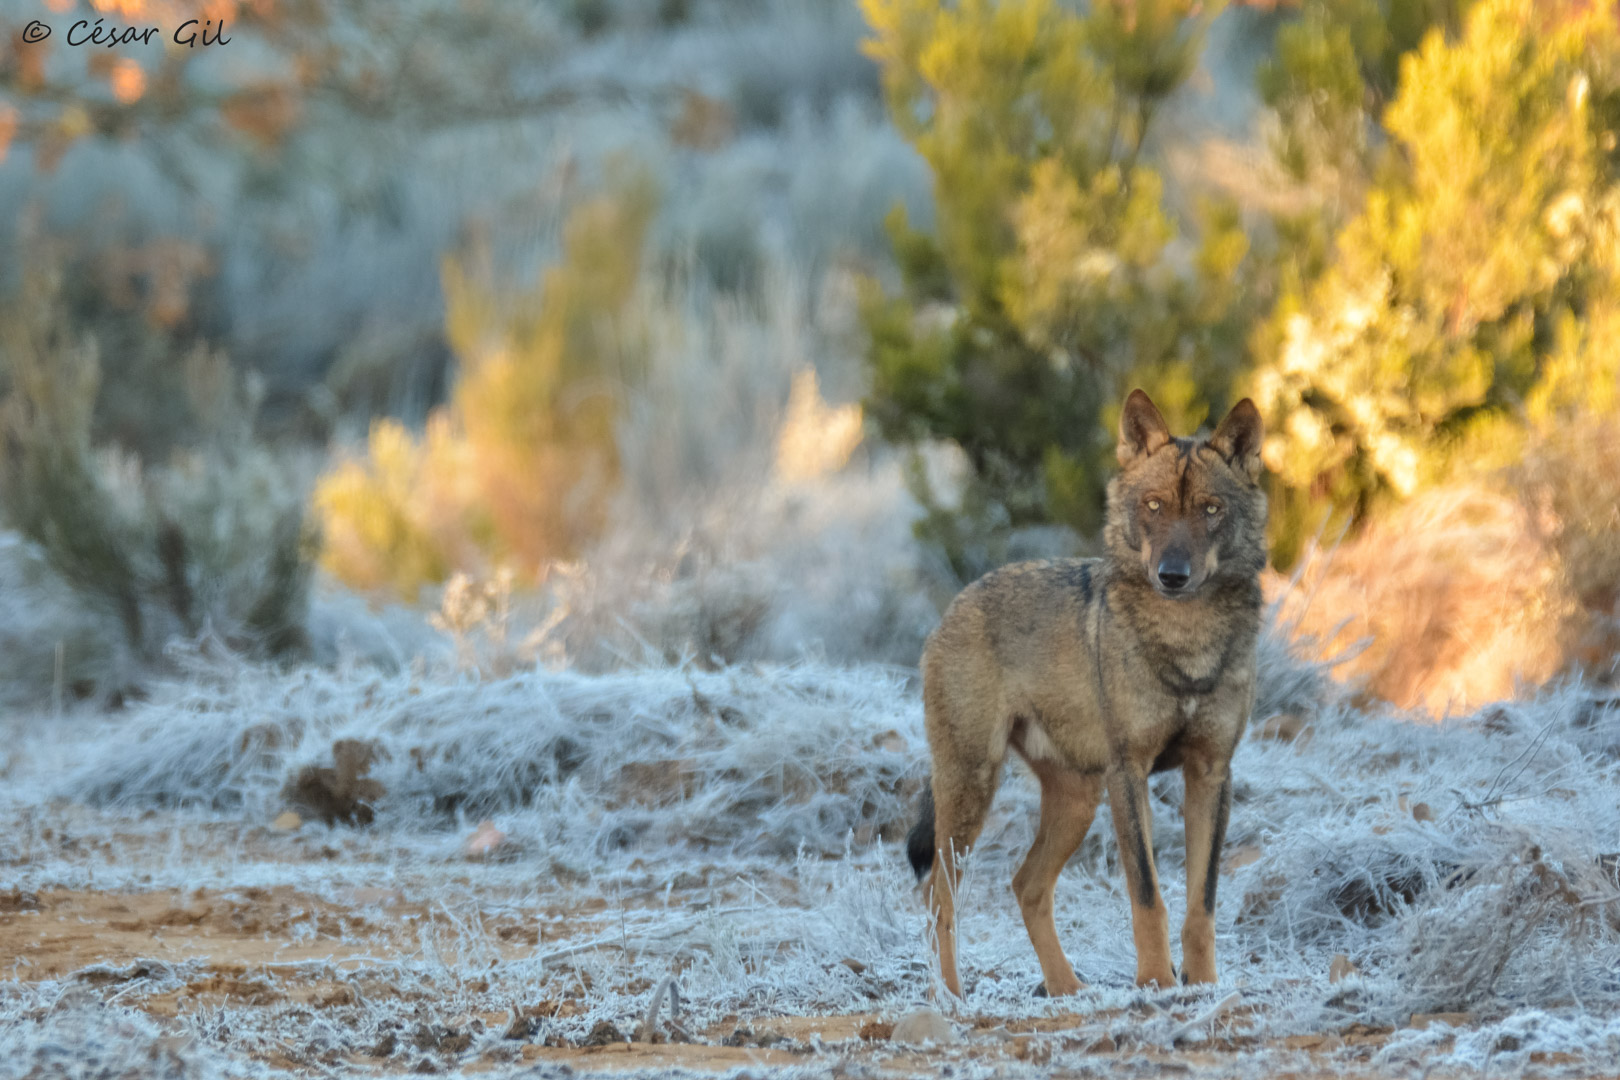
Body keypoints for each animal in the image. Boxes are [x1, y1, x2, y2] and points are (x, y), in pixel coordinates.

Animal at [906, 388, 1266, 998]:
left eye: (1210, 510)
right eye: (1153, 506)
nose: (1172, 575)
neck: (1187, 640)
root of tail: (956, 603)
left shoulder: (1212, 772)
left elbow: (1201, 903)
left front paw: (1202, 986)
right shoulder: (1129, 771)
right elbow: (1147, 895)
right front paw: (1155, 983)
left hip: (1077, 799)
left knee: (1025, 884)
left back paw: (1067, 989)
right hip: (974, 788)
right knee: (938, 893)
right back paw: (949, 999)